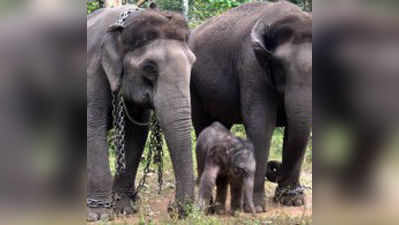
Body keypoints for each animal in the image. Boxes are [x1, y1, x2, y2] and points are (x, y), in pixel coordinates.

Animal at [86, 4, 196, 221]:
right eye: (149, 67)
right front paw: (99, 215)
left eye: (192, 63)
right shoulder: (92, 71)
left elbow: (137, 133)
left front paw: (124, 208)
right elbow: (93, 127)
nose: (172, 208)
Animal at [190, 1, 312, 213]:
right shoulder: (251, 66)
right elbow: (261, 124)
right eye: (281, 67)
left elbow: (295, 129)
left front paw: (292, 201)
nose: (274, 167)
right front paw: (255, 206)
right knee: (201, 125)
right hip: (192, 86)